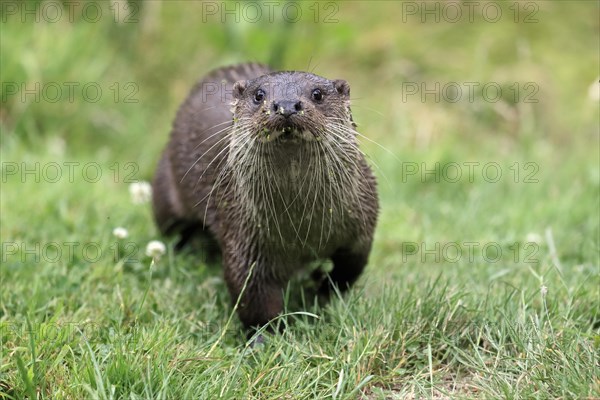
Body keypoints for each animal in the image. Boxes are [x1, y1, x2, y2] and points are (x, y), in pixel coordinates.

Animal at [154, 63, 380, 332]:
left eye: (317, 94)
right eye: (259, 95)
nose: (286, 105)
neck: (302, 229)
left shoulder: (361, 228)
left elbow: (349, 270)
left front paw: (323, 292)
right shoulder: (243, 237)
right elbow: (253, 295)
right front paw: (265, 335)